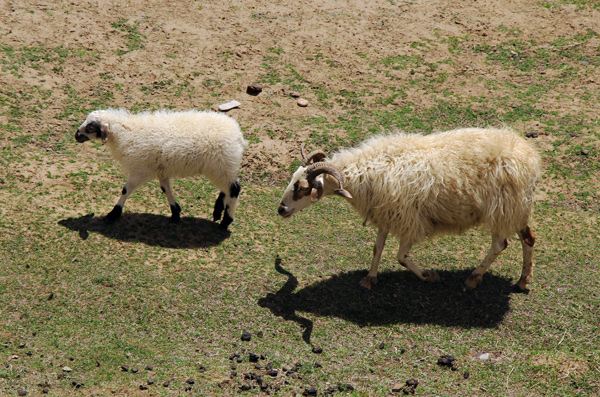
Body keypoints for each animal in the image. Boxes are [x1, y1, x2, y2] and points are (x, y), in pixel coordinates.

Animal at [75, 108, 248, 227]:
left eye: (91, 128)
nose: (76, 135)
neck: (124, 133)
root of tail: (238, 136)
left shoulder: (140, 170)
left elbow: (125, 190)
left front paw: (113, 214)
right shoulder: (161, 170)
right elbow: (166, 189)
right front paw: (175, 213)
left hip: (220, 165)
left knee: (234, 189)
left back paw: (225, 222)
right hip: (223, 167)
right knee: (227, 188)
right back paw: (218, 211)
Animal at [278, 128, 540, 292]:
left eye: (301, 188)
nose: (280, 210)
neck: (366, 170)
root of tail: (529, 157)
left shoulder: (409, 220)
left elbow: (401, 257)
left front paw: (429, 276)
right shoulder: (385, 213)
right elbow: (377, 248)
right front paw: (370, 279)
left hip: (502, 210)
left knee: (500, 244)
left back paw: (473, 279)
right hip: (516, 209)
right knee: (528, 238)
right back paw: (523, 280)